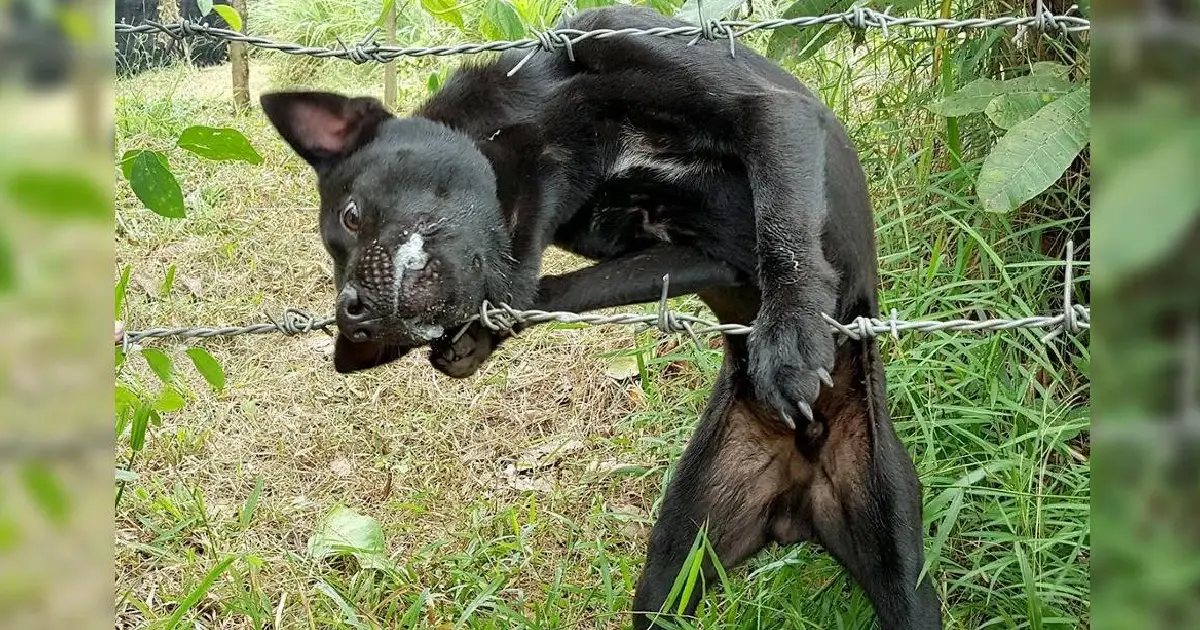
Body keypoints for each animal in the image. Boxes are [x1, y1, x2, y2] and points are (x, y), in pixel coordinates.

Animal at [260, 6, 936, 628]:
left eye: (350, 216)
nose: (352, 315)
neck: (558, 128)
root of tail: (801, 491)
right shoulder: (694, 254)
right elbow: (562, 288)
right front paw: (480, 335)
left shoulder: (764, 110)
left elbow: (783, 230)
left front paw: (791, 332)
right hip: (675, 562)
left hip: (902, 566)